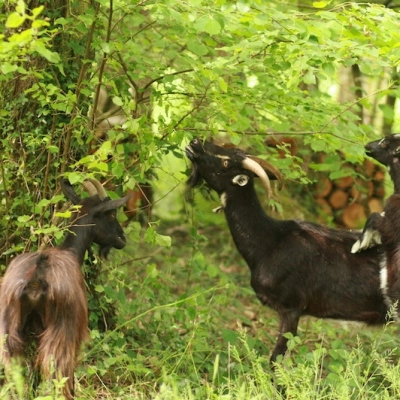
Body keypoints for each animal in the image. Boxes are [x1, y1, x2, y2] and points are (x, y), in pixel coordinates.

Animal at [0, 179, 130, 400]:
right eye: (112, 214)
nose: (123, 238)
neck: (69, 251)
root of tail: (37, 275)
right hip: (61, 332)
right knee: (58, 371)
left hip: (9, 331)